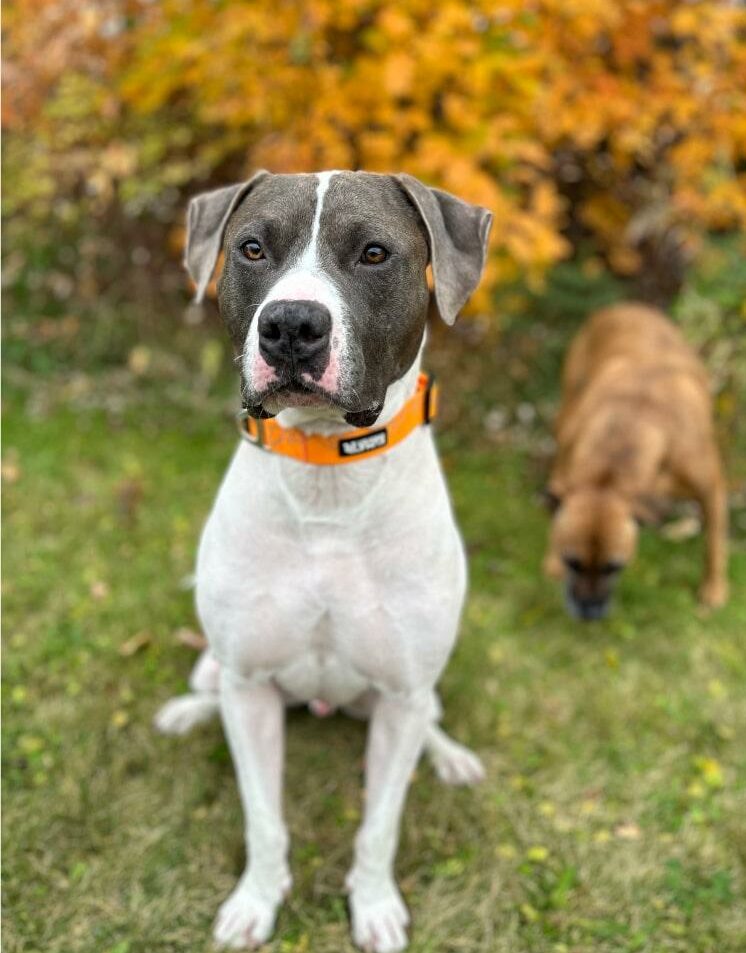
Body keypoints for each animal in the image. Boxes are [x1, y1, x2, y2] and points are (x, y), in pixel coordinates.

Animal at [154, 173, 492, 952]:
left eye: (374, 253)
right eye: (252, 248)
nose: (290, 325)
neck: (327, 480)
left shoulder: (401, 697)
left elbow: (378, 826)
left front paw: (374, 905)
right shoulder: (250, 689)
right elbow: (264, 818)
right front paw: (255, 900)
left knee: (431, 719)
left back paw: (452, 756)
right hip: (221, 665)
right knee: (210, 686)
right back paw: (187, 712)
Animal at [544, 302, 724, 620]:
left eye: (614, 567)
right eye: (572, 562)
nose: (589, 612)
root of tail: (628, 306)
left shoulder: (711, 489)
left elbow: (713, 541)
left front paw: (713, 590)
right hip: (566, 412)